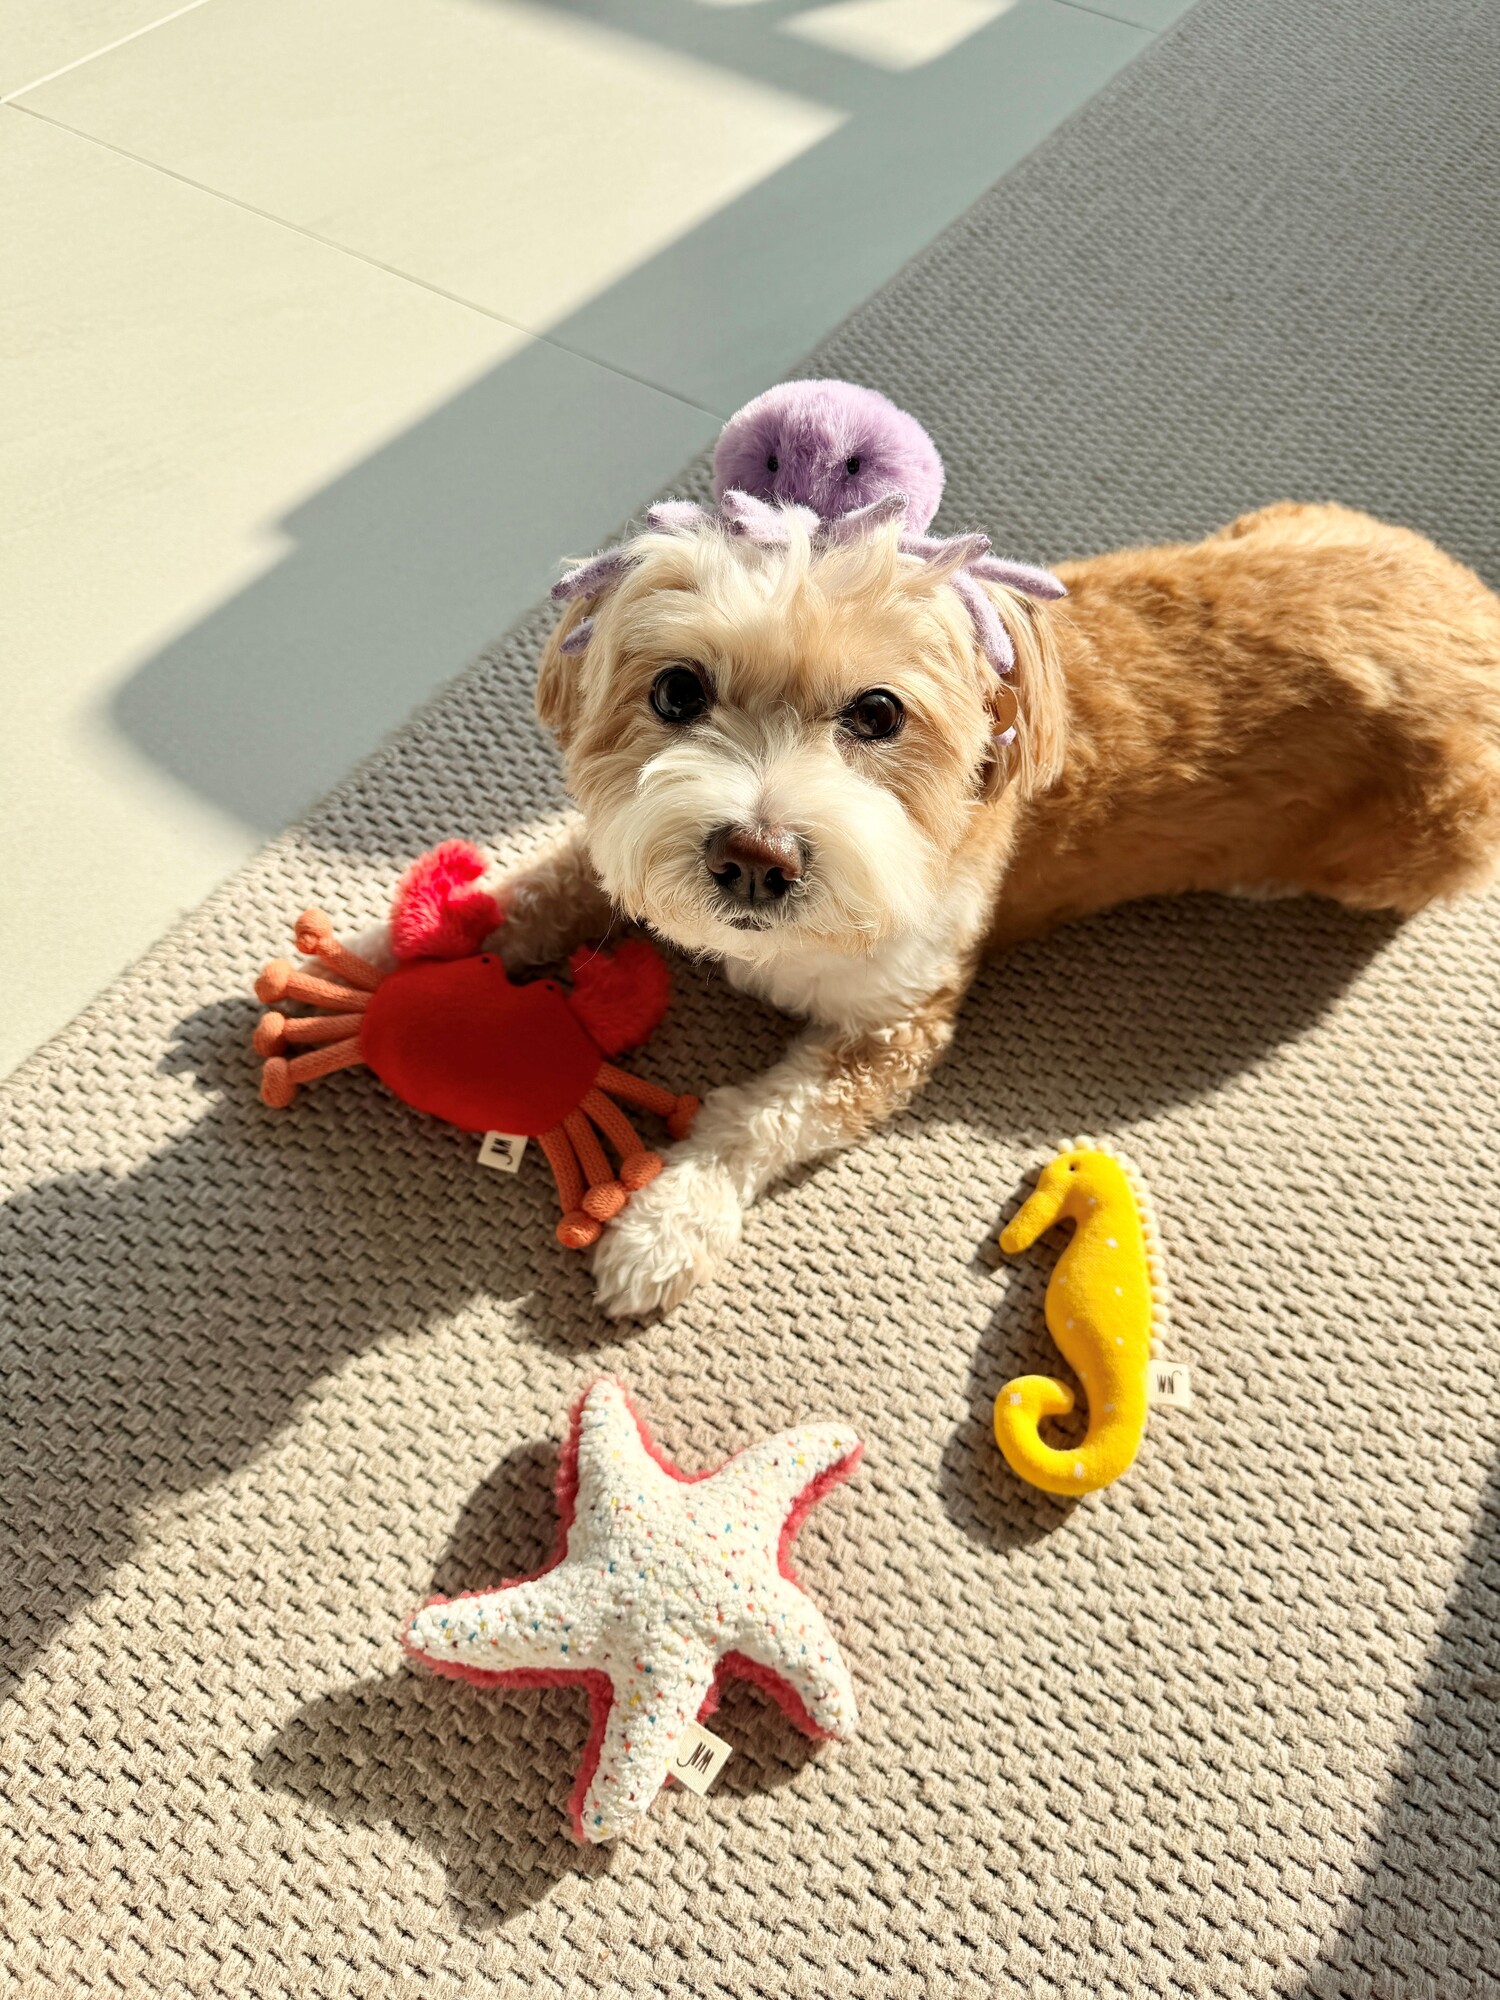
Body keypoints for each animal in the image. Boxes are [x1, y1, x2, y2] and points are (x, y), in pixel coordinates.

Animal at [441, 499, 1500, 1316]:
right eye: (676, 691)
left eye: (877, 714)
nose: (753, 860)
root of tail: (1472, 606)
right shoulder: (624, 853)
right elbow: (546, 887)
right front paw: (423, 946)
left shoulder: (895, 1026)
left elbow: (759, 1117)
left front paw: (668, 1223)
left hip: (1426, 835)